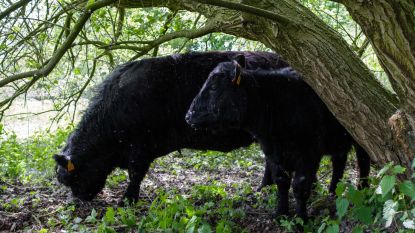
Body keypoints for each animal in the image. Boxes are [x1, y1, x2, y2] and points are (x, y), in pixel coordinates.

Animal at [53, 51, 294, 202]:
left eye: (71, 178)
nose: (78, 200)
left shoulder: (141, 147)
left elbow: (135, 174)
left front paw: (128, 200)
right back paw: (264, 186)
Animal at [185, 53, 370, 219]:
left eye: (213, 87)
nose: (188, 115)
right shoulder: (272, 152)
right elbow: (281, 182)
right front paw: (280, 213)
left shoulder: (309, 152)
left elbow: (300, 186)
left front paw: (301, 219)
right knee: (339, 162)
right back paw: (332, 193)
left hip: (358, 137)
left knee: (363, 161)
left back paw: (363, 189)